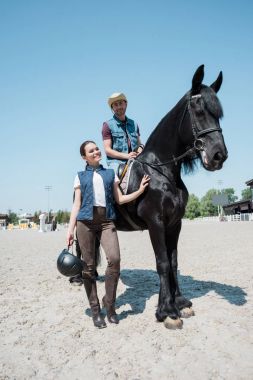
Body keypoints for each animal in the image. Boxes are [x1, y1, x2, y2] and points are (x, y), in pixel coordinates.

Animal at [114, 63, 227, 328]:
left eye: (218, 114)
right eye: (198, 111)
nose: (219, 155)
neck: (161, 171)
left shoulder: (175, 224)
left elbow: (173, 261)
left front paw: (180, 302)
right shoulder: (156, 222)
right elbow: (163, 262)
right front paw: (166, 311)